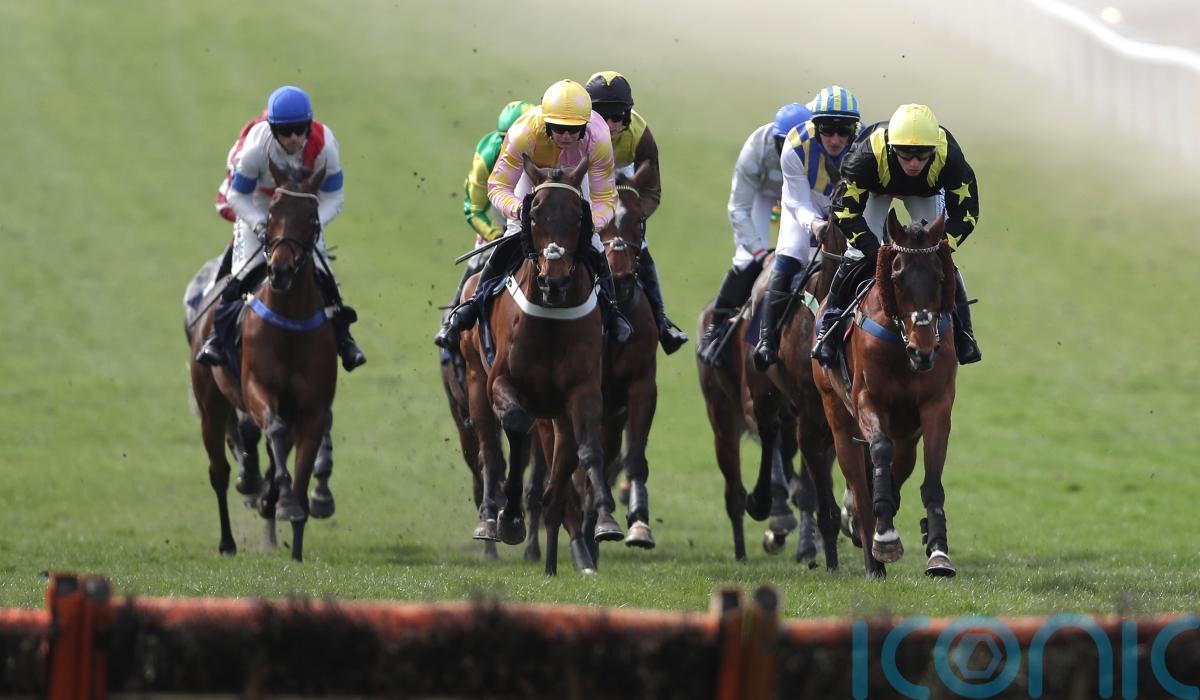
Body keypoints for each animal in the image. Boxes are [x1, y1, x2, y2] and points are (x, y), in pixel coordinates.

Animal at [188, 162, 337, 562]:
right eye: (271, 213)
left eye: (311, 217)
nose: (281, 271)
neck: (290, 321)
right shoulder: (258, 390)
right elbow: (276, 433)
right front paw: (281, 501)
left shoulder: (314, 407)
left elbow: (301, 467)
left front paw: (295, 534)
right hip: (210, 404)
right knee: (219, 471)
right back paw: (227, 541)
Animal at [458, 154, 620, 576]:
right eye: (533, 215)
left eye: (578, 217)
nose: (554, 282)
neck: (551, 316)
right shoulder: (502, 382)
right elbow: (514, 429)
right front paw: (510, 519)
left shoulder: (583, 390)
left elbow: (591, 449)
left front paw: (606, 519)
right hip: (475, 380)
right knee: (489, 449)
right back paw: (490, 518)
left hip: (557, 415)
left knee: (561, 471)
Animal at [812, 210, 960, 579]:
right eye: (897, 277)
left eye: (940, 277)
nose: (923, 351)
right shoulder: (869, 399)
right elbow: (878, 451)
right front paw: (885, 537)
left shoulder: (936, 406)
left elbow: (932, 480)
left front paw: (938, 552)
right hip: (837, 416)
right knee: (859, 484)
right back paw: (873, 557)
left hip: (907, 433)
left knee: (898, 467)